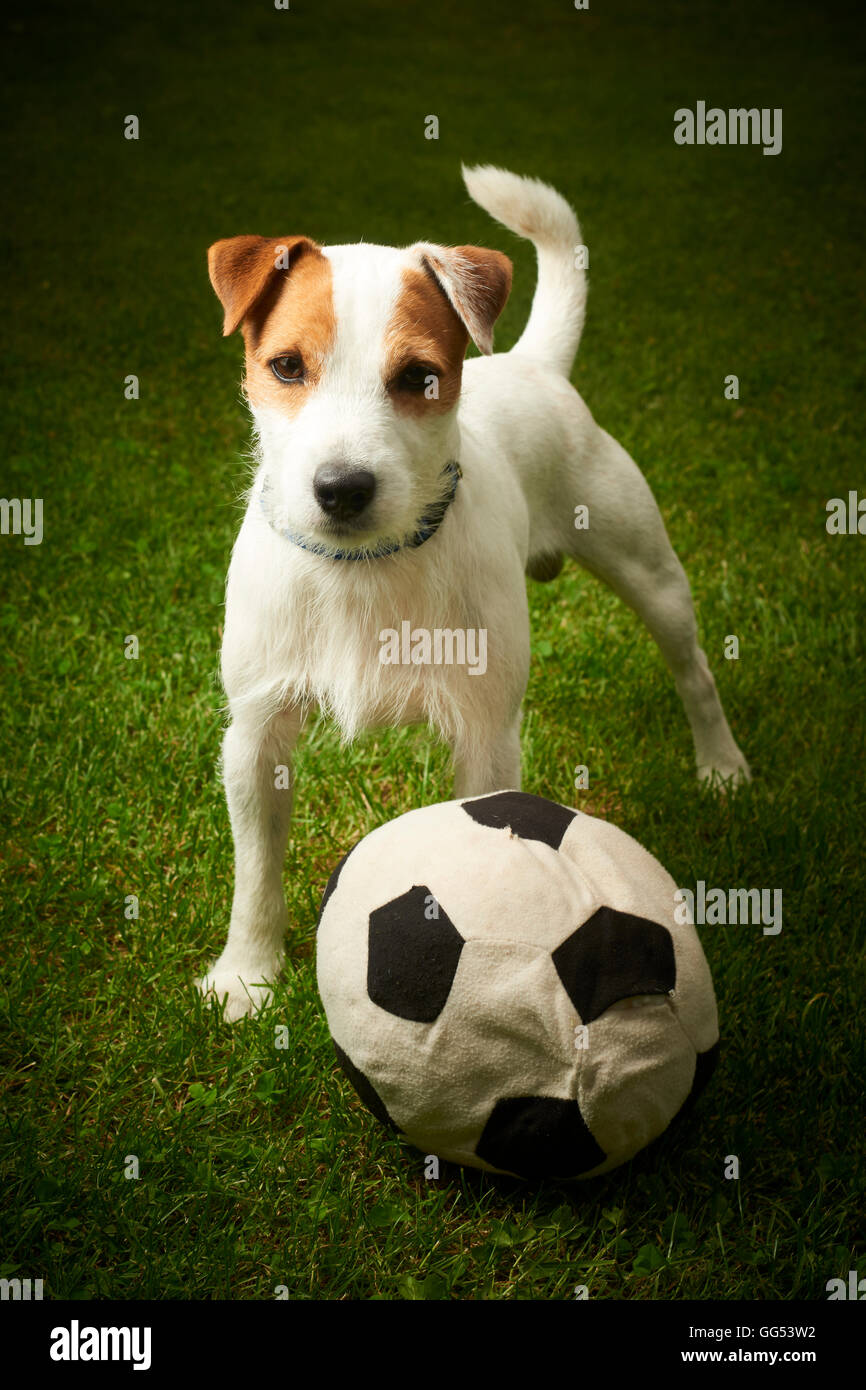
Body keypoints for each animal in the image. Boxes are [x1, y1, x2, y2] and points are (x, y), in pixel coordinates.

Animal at [200, 165, 750, 1023]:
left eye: (419, 378)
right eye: (287, 367)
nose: (342, 488)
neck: (363, 569)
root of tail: (533, 365)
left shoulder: (487, 739)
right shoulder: (256, 734)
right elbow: (256, 869)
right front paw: (248, 976)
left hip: (648, 571)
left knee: (692, 669)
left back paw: (720, 763)